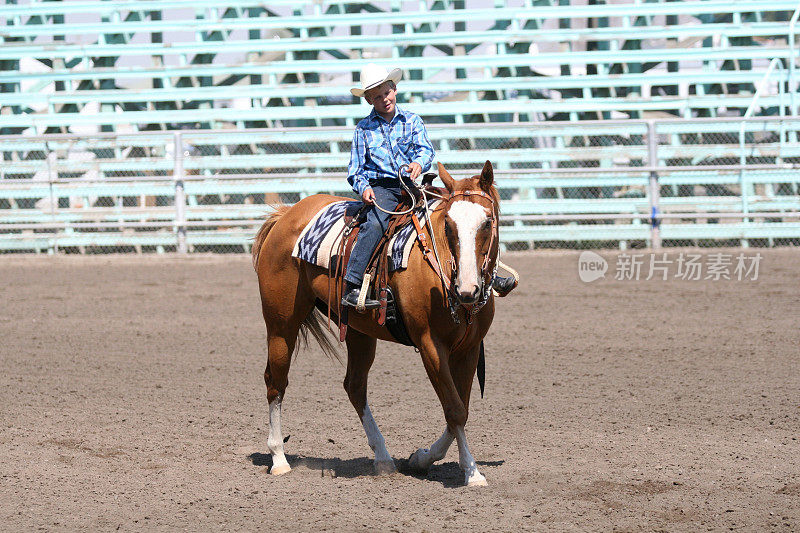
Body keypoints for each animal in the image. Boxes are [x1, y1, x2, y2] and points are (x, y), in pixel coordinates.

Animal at [253, 160, 496, 484]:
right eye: (448, 225)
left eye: (487, 223)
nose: (468, 290)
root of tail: (285, 216)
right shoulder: (431, 346)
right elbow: (455, 410)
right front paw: (472, 472)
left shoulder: (468, 349)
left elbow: (460, 409)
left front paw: (422, 458)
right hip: (281, 324)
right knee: (276, 381)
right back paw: (279, 458)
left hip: (359, 330)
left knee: (354, 386)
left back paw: (382, 457)